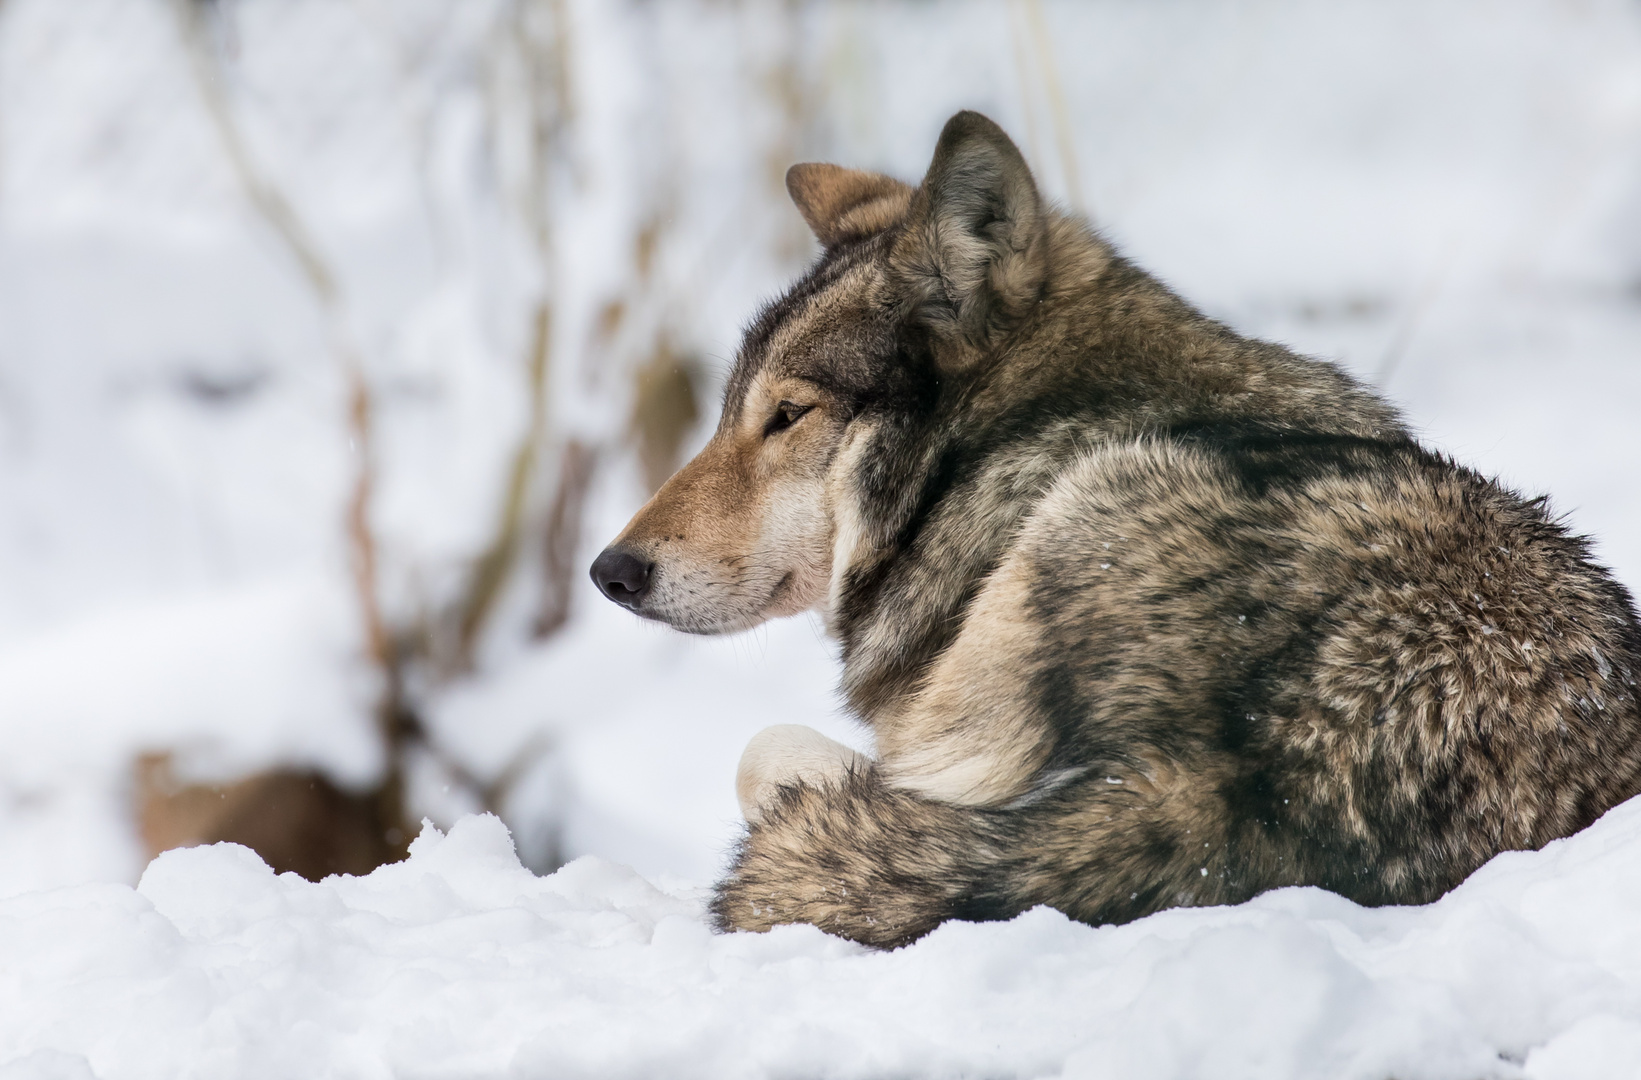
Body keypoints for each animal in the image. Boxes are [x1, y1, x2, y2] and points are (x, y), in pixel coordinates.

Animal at [590, 109, 1641, 945]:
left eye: (786, 415)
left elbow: (769, 758)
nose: (611, 572)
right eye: (730, 412)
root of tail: (1295, 751)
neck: (1020, 434)